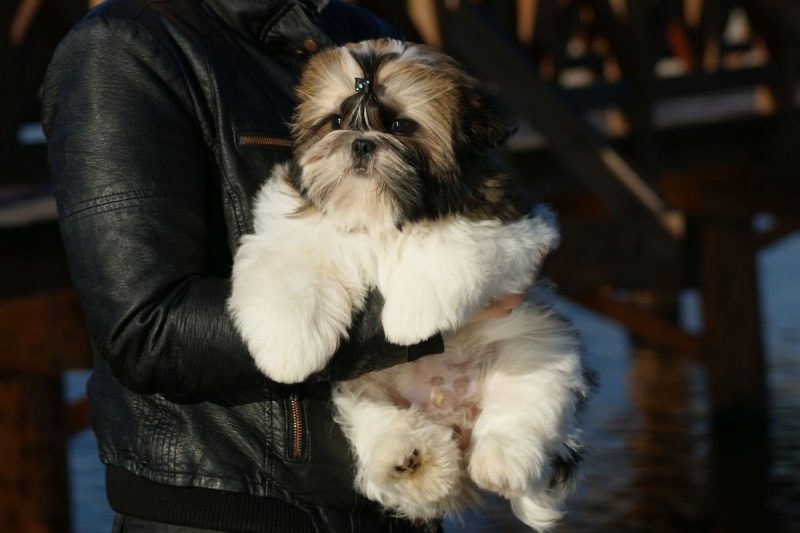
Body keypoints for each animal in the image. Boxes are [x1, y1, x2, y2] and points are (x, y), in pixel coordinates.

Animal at [228, 39, 591, 531]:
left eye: (400, 125)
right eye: (336, 121)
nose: (360, 143)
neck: (375, 209)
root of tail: (451, 409)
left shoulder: (510, 226)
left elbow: (446, 244)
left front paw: (409, 319)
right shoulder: (292, 232)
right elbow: (291, 276)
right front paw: (287, 353)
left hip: (538, 348)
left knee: (523, 409)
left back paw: (500, 461)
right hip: (359, 385)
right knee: (377, 420)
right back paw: (412, 459)